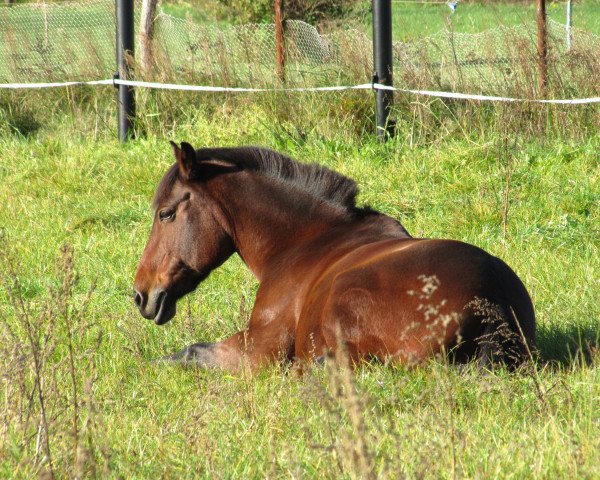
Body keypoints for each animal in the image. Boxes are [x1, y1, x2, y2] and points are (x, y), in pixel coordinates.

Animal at [132, 142, 536, 372]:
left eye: (166, 213)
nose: (140, 294)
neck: (302, 243)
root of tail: (493, 303)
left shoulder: (258, 350)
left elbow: (187, 354)